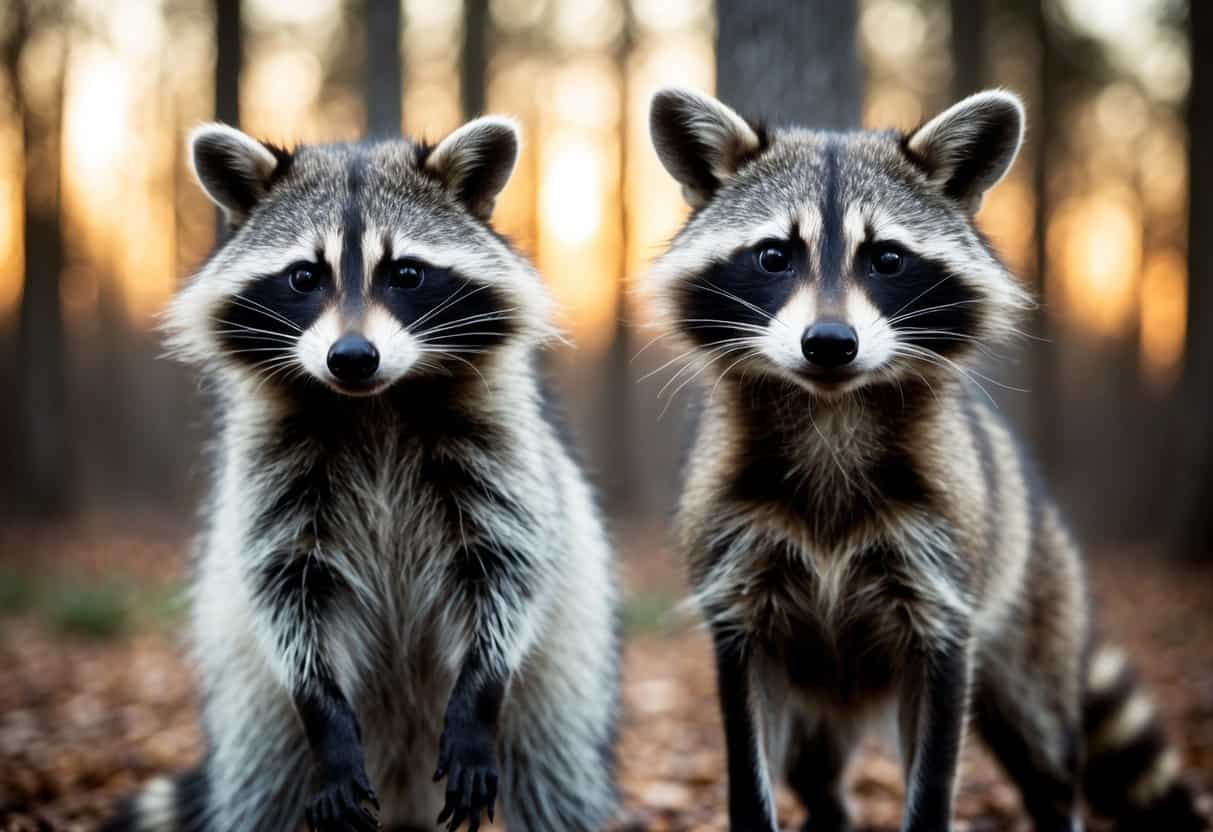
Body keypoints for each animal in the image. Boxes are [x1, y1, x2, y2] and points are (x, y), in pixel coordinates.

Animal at [102, 118, 619, 832]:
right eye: (303, 276)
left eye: (406, 273)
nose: (351, 357)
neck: (374, 403)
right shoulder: (270, 468)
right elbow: (288, 594)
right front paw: (324, 711)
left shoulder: (504, 451)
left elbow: (508, 570)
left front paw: (479, 691)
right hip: (256, 722)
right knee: (258, 797)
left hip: (559, 691)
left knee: (557, 785)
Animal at [646, 87, 1206, 832]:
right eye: (772, 257)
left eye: (886, 258)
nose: (830, 343)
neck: (832, 414)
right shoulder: (736, 583)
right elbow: (748, 757)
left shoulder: (942, 597)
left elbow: (935, 763)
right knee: (812, 774)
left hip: (1032, 622)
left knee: (1046, 757)